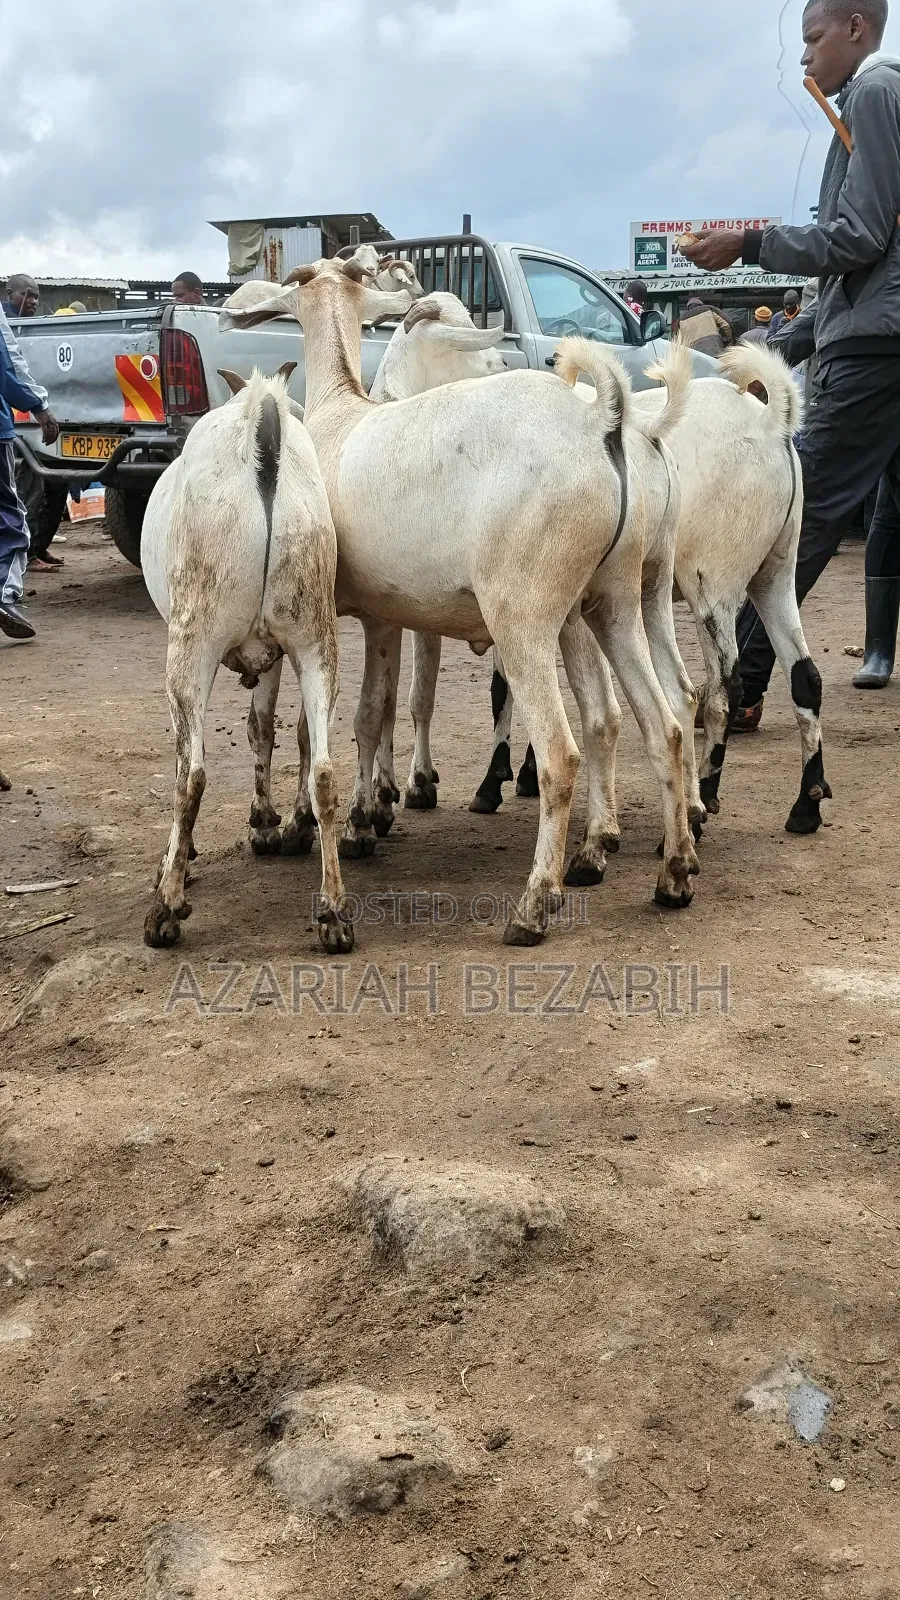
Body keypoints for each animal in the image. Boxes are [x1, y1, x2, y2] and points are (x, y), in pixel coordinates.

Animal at [141, 368, 353, 952]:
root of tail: (262, 422)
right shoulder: (274, 653)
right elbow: (263, 727)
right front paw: (265, 819)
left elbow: (185, 759)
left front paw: (178, 858)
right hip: (315, 636)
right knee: (324, 770)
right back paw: (332, 912)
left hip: (192, 643)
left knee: (191, 775)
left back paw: (166, 907)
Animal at [221, 249, 699, 943]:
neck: (341, 411)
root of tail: (602, 424)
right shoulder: (386, 613)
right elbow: (377, 712)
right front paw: (368, 816)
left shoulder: (330, 614)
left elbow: (328, 724)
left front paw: (311, 823)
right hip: (615, 600)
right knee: (661, 723)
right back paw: (670, 872)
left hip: (523, 612)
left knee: (562, 753)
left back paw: (535, 904)